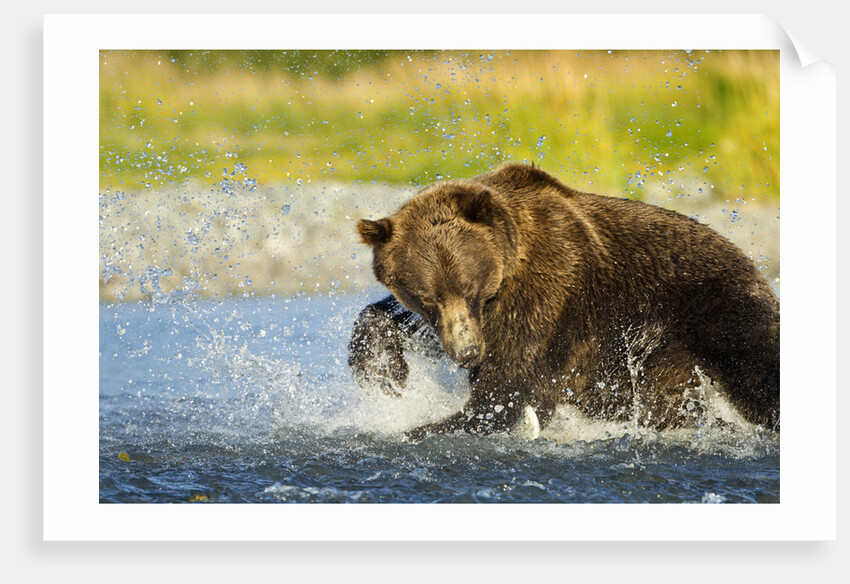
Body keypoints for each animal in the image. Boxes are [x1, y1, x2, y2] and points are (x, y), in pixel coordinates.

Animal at [348, 163, 779, 440]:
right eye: (427, 297)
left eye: (470, 287)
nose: (467, 353)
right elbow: (392, 319)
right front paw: (385, 374)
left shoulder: (548, 295)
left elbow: (508, 391)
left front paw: (423, 426)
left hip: (716, 306)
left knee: (757, 369)